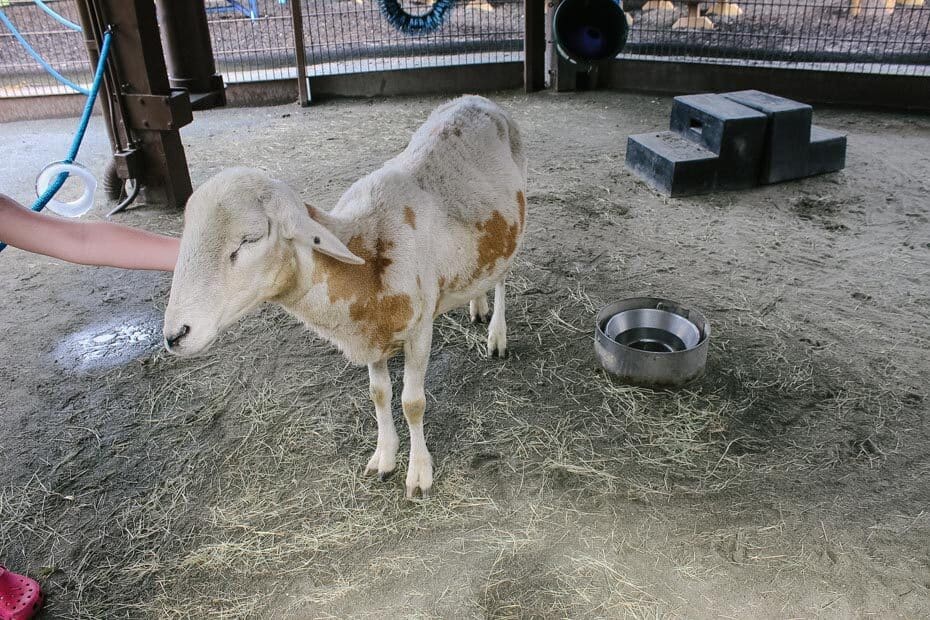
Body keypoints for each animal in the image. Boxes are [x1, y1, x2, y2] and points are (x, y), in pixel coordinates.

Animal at [163, 93, 524, 498]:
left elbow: (412, 403)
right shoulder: (371, 334)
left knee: (503, 278)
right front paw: (384, 457)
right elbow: (379, 394)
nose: (175, 335)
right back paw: (477, 305)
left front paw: (418, 472)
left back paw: (496, 334)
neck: (367, 255)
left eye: (250, 238)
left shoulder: (419, 331)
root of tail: (475, 98)